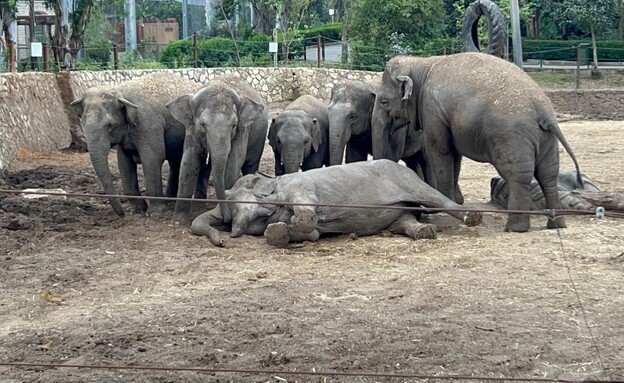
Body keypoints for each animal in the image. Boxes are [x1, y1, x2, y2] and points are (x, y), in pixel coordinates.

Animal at [72, 72, 201, 216]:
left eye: (110, 126)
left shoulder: (148, 125)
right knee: (175, 161)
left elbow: (153, 158)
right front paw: (139, 209)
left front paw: (155, 212)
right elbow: (124, 162)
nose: (122, 214)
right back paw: (170, 199)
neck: (120, 90)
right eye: (83, 122)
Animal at [166, 75, 268, 225]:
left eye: (234, 125)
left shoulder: (242, 130)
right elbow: (189, 161)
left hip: (260, 135)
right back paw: (199, 204)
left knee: (250, 165)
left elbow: (233, 162)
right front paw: (178, 222)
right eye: (203, 124)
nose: (227, 219)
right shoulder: (191, 129)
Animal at [190, 160, 482, 248]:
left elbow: (306, 210)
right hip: (398, 214)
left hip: (405, 177)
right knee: (404, 221)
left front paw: (295, 221)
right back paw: (425, 232)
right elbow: (313, 232)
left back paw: (474, 218)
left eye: (230, 198)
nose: (223, 239)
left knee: (435, 198)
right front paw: (278, 232)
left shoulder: (299, 185)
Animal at [370, 52, 584, 232]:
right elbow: (455, 155)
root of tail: (545, 112)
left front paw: (444, 206)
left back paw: (515, 228)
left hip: (511, 137)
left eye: (384, 102)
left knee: (518, 176)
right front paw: (457, 201)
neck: (422, 63)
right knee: (548, 175)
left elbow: (440, 151)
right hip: (547, 139)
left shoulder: (432, 110)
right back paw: (556, 224)